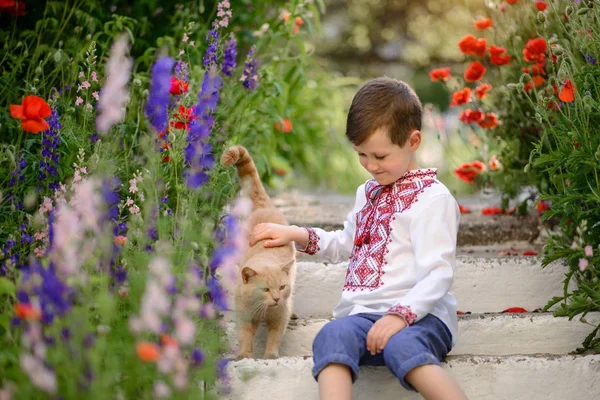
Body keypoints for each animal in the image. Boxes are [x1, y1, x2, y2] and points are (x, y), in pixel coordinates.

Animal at [220, 145, 296, 358]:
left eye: (281, 287)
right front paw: (245, 354)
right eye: (265, 289)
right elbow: (245, 336)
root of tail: (264, 206)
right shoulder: (245, 316)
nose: (277, 298)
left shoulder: (280, 317)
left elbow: (274, 337)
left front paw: (270, 356)